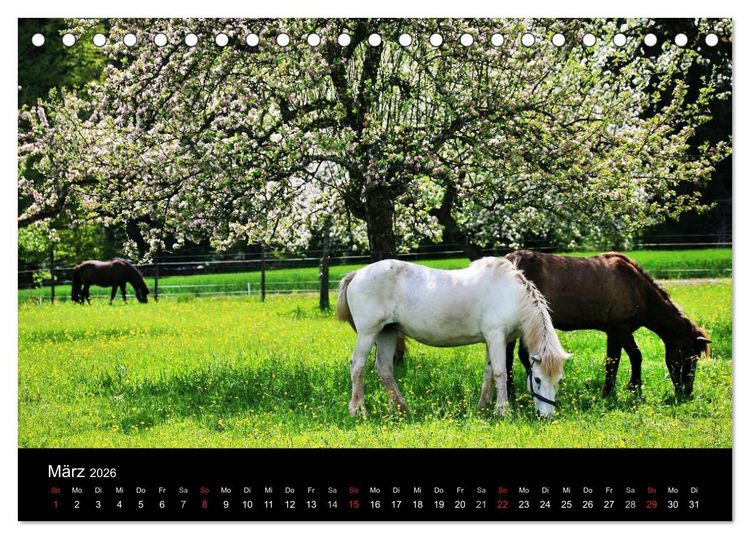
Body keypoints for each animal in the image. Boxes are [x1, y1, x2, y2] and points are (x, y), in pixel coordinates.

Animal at [336, 257, 571, 418]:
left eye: (559, 380)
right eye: (537, 379)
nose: (547, 417)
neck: (511, 294)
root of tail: (357, 273)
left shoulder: (491, 340)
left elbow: (488, 372)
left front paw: (483, 407)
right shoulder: (496, 336)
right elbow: (500, 373)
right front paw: (503, 410)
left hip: (388, 332)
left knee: (384, 368)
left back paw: (402, 409)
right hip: (368, 333)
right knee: (357, 367)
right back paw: (358, 410)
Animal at [505, 250, 711, 399]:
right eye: (690, 357)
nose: (686, 392)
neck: (638, 289)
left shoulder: (622, 332)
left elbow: (633, 356)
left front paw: (634, 388)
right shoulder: (617, 330)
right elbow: (616, 360)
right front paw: (609, 393)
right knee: (516, 356)